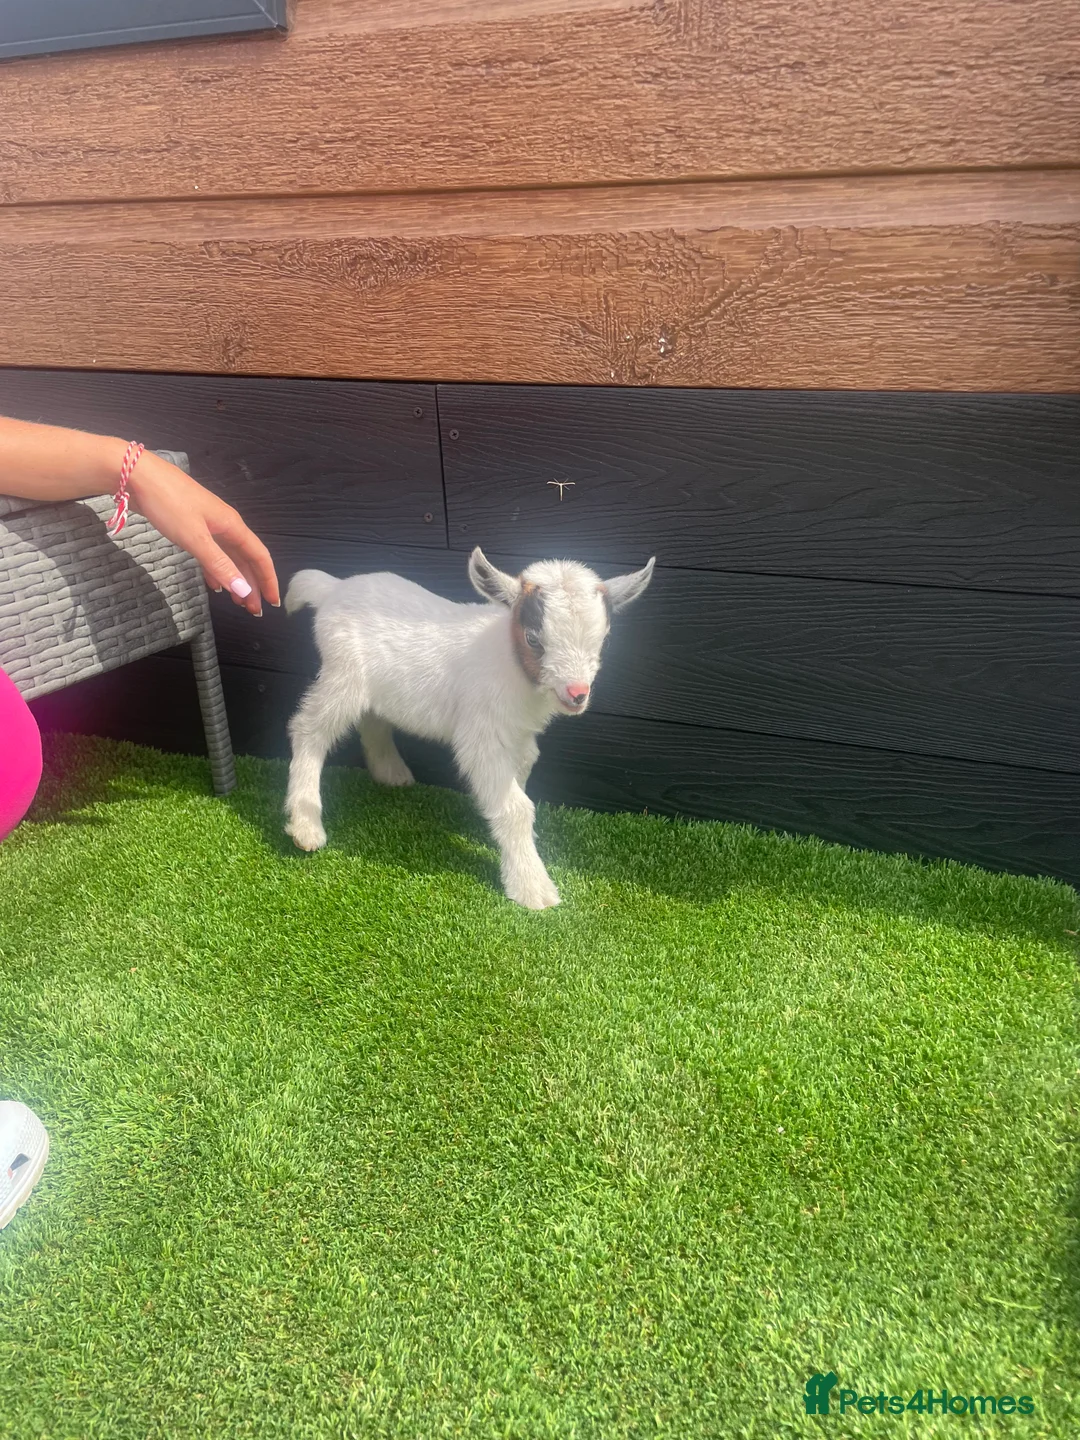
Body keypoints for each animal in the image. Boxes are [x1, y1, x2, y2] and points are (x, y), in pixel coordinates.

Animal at [283, 548, 655, 909]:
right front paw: (533, 888)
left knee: (372, 720)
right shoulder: (481, 735)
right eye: (533, 639)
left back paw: (390, 772)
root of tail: (332, 589)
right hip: (343, 675)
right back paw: (306, 825)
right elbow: (518, 808)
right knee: (308, 729)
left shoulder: (520, 734)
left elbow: (521, 775)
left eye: (604, 639)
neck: (511, 662)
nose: (577, 694)